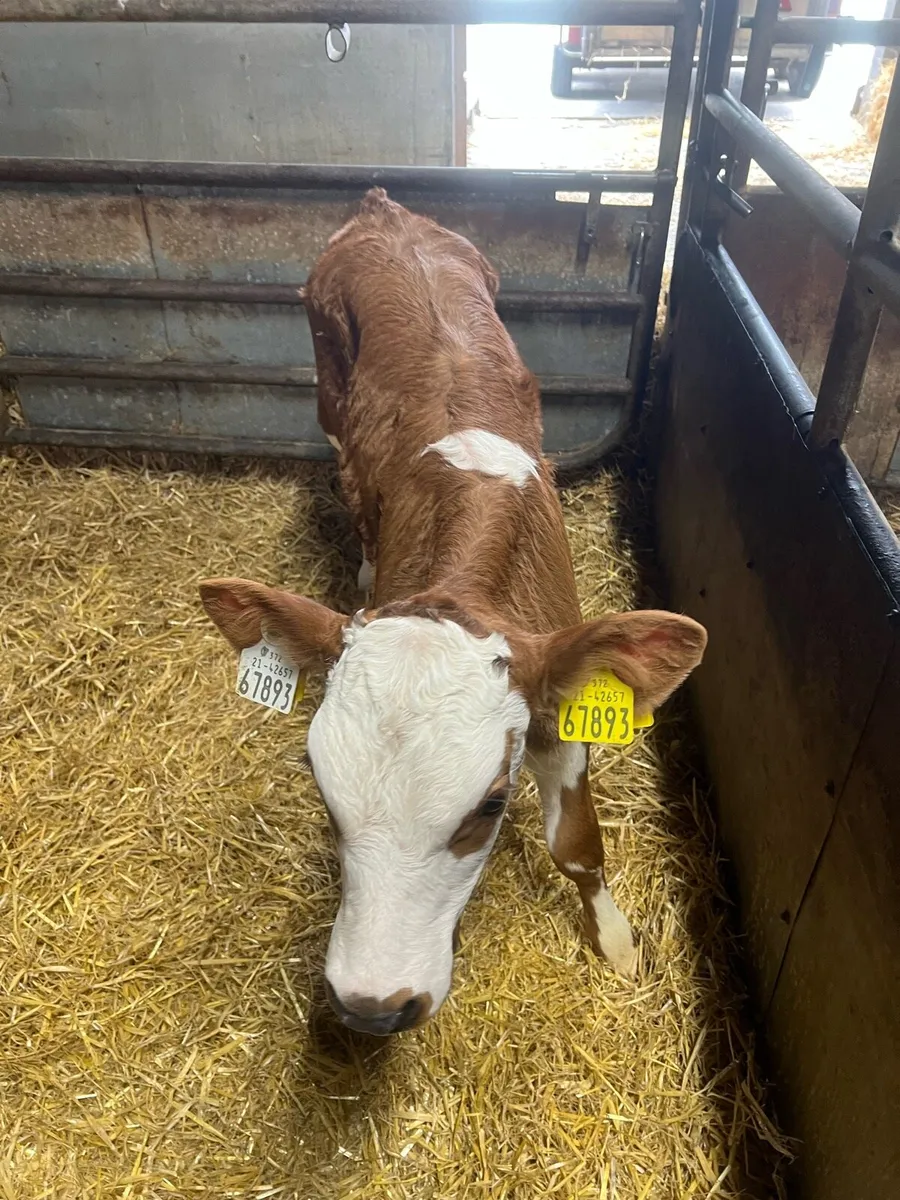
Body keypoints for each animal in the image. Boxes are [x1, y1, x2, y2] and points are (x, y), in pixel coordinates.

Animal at [200, 188, 706, 1036]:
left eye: (490, 804)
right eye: (320, 788)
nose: (371, 1006)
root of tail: (384, 212)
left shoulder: (557, 706)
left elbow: (578, 846)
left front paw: (614, 939)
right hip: (328, 390)